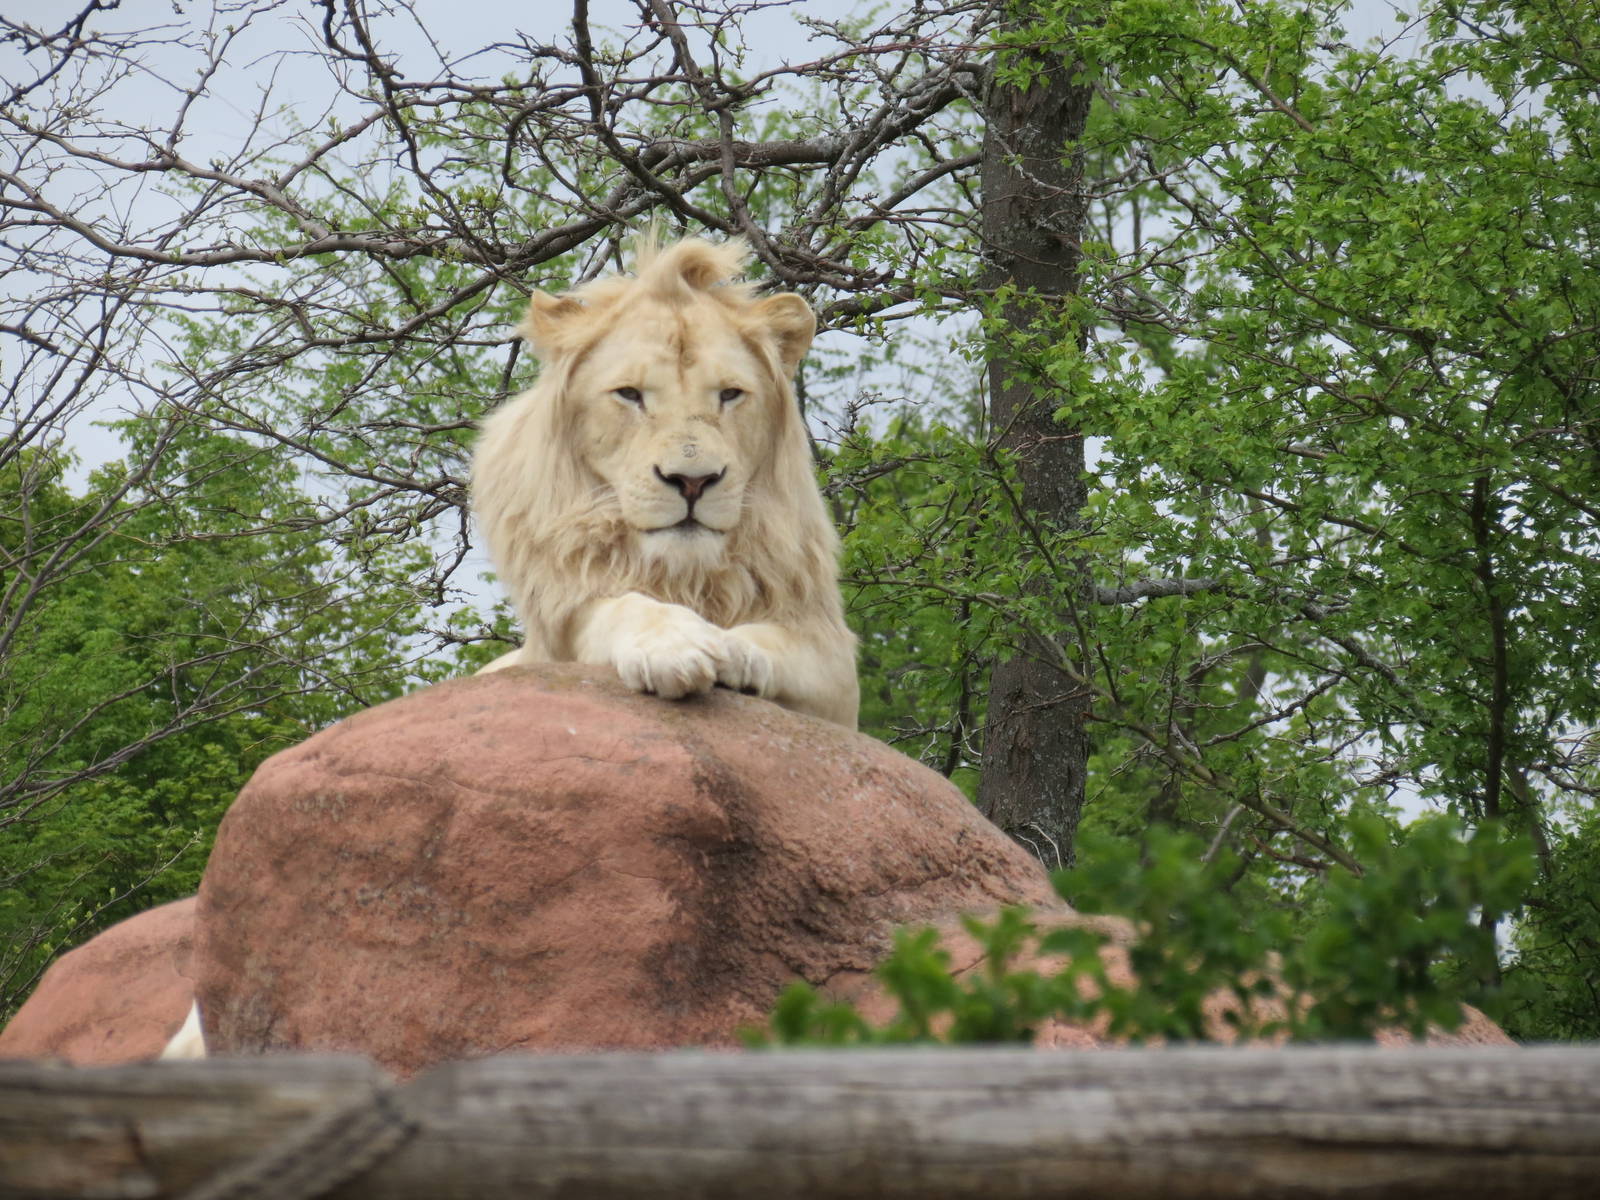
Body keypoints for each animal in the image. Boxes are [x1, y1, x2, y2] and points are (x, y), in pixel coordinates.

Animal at [471, 236, 859, 729]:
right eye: (629, 394)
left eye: (730, 394)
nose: (692, 481)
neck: (683, 576)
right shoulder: (562, 622)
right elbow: (623, 606)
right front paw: (674, 645)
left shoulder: (836, 672)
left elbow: (778, 643)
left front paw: (728, 647)